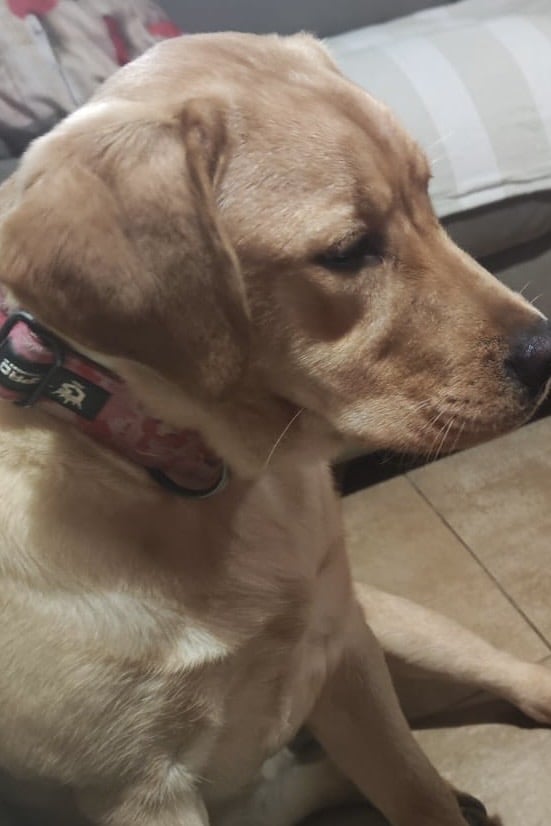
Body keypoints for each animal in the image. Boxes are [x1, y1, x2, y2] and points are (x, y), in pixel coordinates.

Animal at [0, 32, 550, 826]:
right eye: (347, 252)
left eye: (427, 194)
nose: (547, 353)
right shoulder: (142, 791)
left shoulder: (346, 652)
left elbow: (417, 790)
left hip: (390, 620)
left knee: (519, 676)